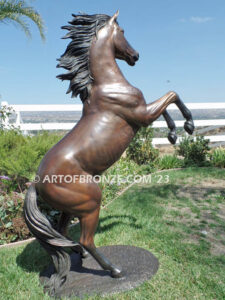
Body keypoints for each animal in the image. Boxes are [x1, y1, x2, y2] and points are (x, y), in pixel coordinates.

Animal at [23, 11, 194, 292]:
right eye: (122, 31)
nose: (136, 56)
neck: (108, 86)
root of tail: (36, 184)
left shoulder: (144, 114)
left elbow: (167, 103)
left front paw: (172, 134)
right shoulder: (142, 114)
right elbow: (172, 95)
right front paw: (188, 125)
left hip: (71, 208)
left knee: (63, 233)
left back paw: (78, 255)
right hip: (91, 202)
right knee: (86, 239)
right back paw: (114, 270)